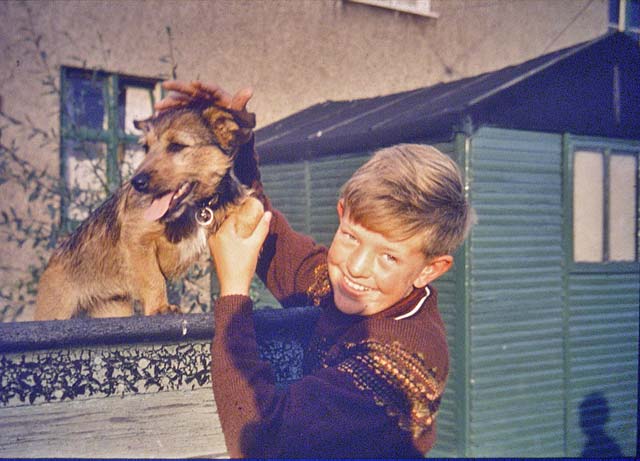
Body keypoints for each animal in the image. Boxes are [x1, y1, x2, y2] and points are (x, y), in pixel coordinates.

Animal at [35, 103, 262, 320]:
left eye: (177, 146)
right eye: (146, 147)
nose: (137, 182)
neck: (196, 207)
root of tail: (54, 257)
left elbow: (255, 205)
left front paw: (241, 233)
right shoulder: (137, 239)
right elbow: (153, 277)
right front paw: (160, 308)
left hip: (113, 308)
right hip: (56, 310)